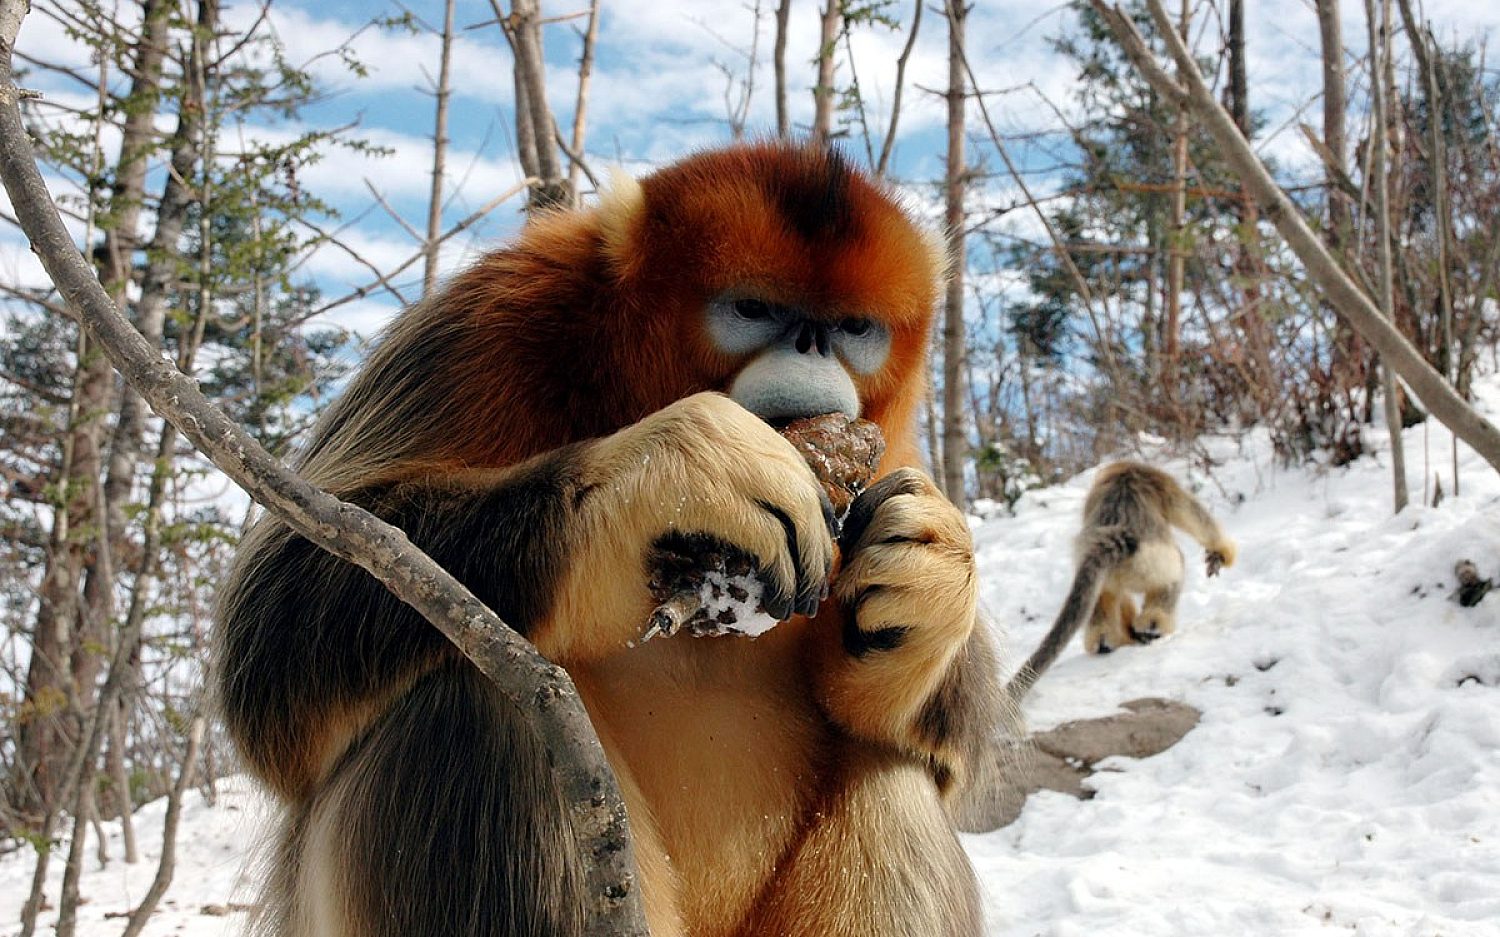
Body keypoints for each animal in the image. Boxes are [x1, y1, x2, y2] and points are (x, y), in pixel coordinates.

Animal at [213, 142, 1004, 937]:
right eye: (752, 309)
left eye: (852, 328)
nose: (813, 352)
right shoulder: (481, 324)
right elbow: (270, 629)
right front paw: (669, 481)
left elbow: (936, 743)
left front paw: (929, 575)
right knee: (475, 698)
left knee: (891, 772)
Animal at [1005, 461, 1236, 700]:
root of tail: (1114, 537)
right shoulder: (1159, 481)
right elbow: (1191, 514)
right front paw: (1223, 550)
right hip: (1155, 561)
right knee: (1173, 574)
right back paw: (1153, 625)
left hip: (1109, 571)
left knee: (1104, 594)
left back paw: (1105, 638)